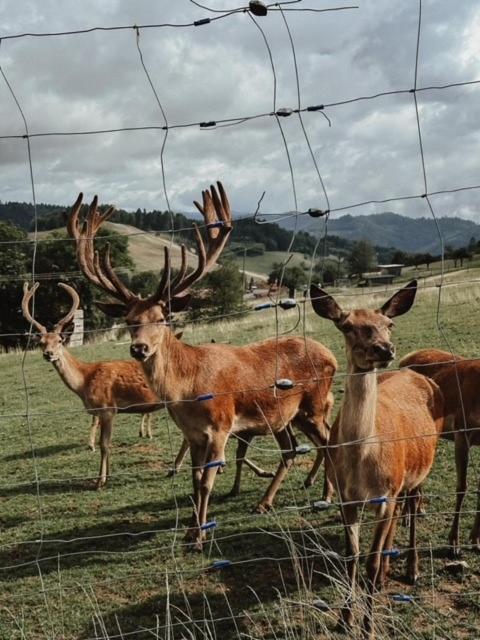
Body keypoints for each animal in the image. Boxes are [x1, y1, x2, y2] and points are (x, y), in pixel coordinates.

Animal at [66, 181, 338, 552]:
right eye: (129, 319)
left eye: (163, 317)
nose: (139, 348)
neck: (188, 392)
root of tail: (332, 356)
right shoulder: (192, 433)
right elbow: (194, 480)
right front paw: (190, 530)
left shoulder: (221, 426)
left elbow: (208, 481)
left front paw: (200, 536)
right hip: (286, 415)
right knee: (293, 449)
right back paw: (266, 501)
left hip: (313, 405)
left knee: (329, 441)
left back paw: (328, 495)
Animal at [310, 284, 444, 640]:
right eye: (346, 325)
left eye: (389, 324)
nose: (384, 349)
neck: (362, 462)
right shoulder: (347, 499)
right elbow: (351, 556)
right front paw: (344, 620)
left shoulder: (386, 492)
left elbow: (368, 562)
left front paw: (368, 627)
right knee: (401, 512)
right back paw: (389, 570)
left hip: (419, 470)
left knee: (413, 504)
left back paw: (411, 569)